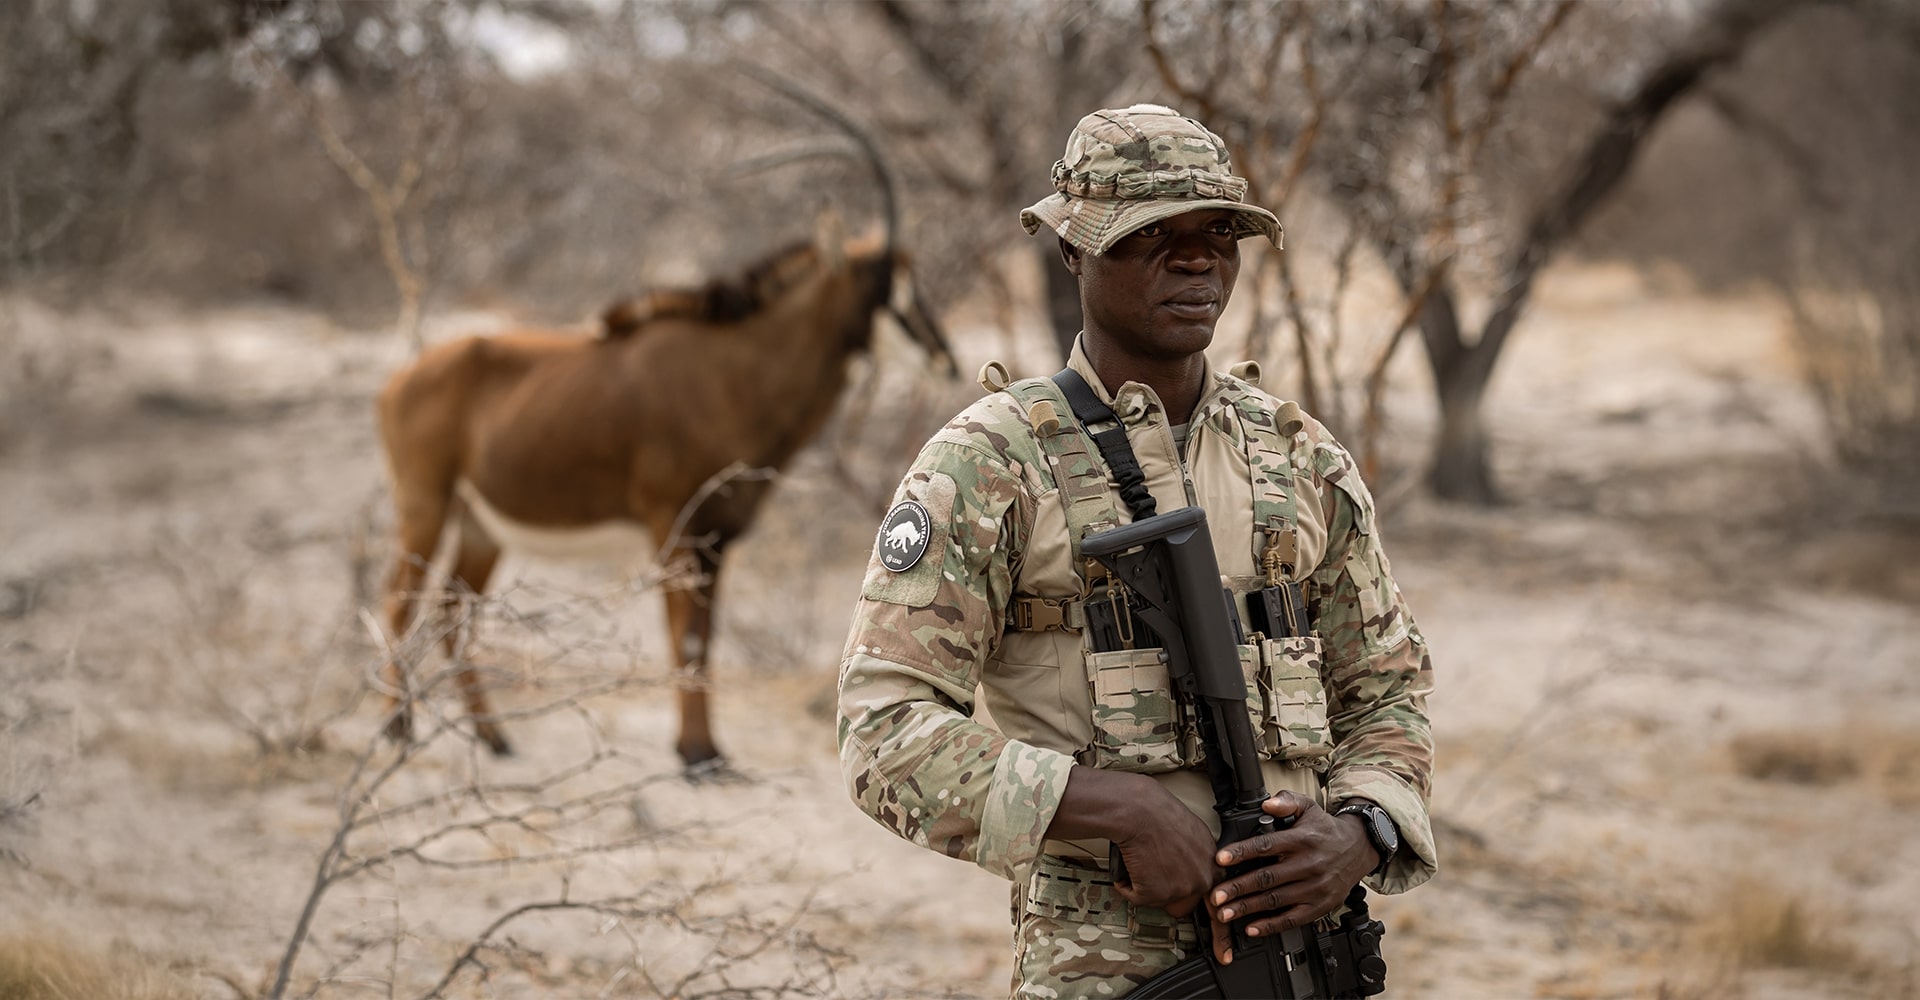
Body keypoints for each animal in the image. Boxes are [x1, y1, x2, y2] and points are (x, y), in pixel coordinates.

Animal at [370, 89, 956, 767]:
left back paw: (493, 736)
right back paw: (396, 729)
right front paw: (697, 755)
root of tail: (401, 379)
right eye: (884, 285)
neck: (731, 372)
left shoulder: (717, 540)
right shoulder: (672, 529)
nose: (946, 359)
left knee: (449, 607)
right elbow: (687, 639)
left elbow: (704, 637)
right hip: (426, 504)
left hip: (480, 526)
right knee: (401, 601)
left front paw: (707, 750)